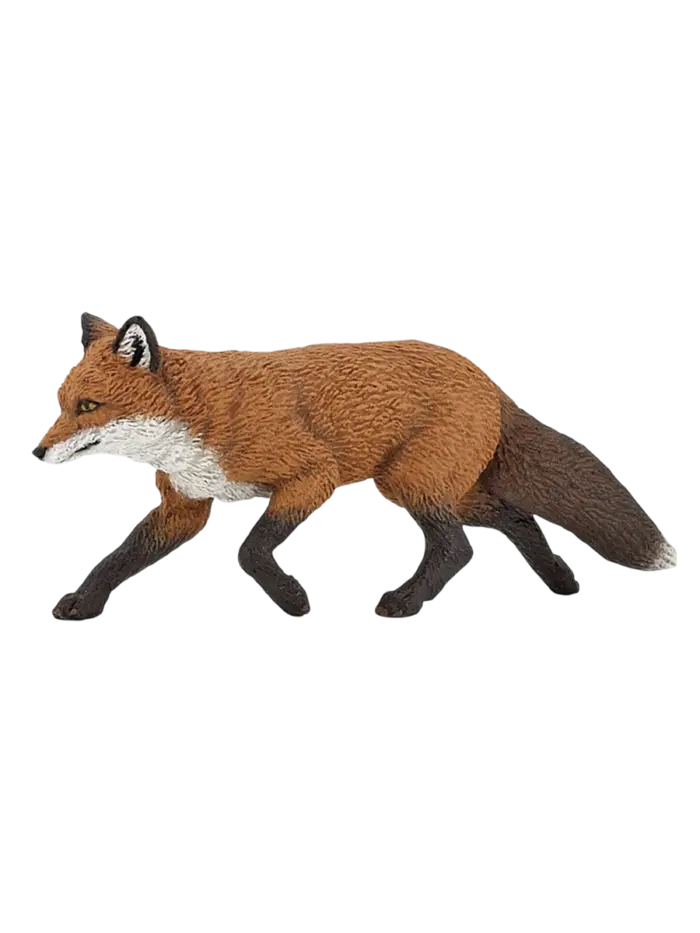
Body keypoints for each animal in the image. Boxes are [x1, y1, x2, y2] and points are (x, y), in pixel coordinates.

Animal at [35, 315, 679, 621]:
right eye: (62, 402)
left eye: (88, 406)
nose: (38, 452)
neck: (201, 420)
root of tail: (485, 378)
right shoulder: (185, 506)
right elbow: (117, 560)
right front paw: (82, 603)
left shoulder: (312, 475)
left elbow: (251, 551)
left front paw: (292, 600)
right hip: (451, 490)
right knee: (516, 521)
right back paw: (560, 579)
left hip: (409, 485)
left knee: (456, 548)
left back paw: (405, 603)